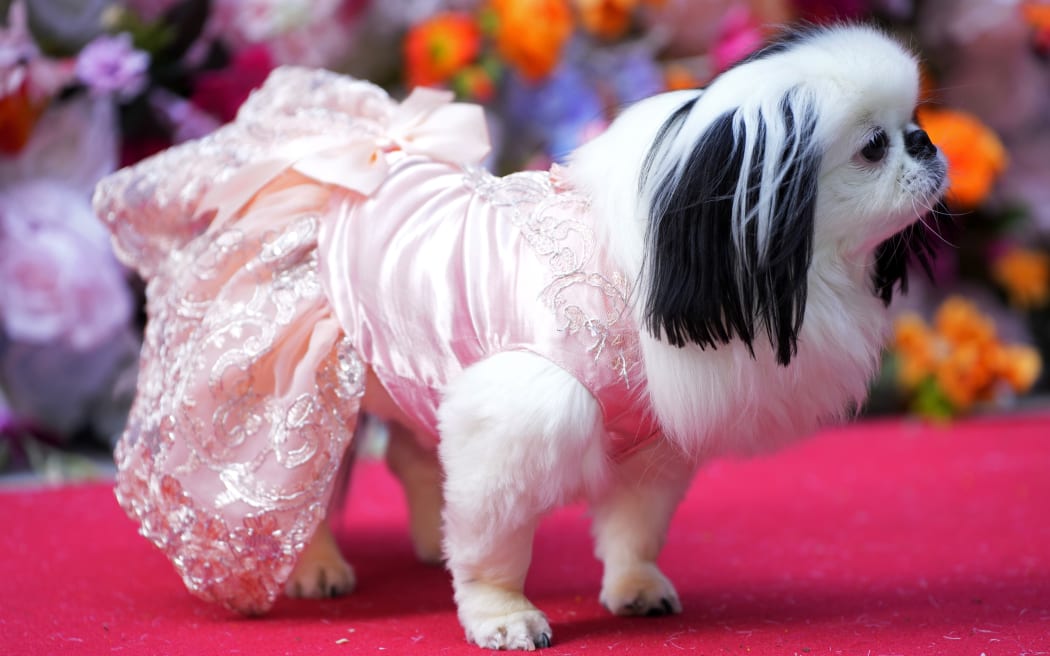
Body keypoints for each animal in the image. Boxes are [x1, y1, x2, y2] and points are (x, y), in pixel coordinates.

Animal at [98, 20, 949, 650]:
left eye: (912, 126)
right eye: (875, 147)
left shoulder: (649, 435)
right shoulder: (524, 418)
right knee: (293, 495)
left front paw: (634, 588)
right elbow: (497, 542)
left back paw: (425, 538)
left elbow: (636, 528)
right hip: (297, 396)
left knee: (414, 458)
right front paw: (500, 616)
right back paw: (314, 568)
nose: (928, 143)